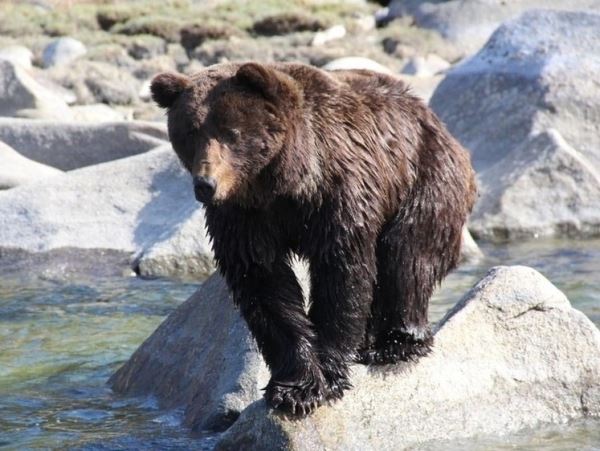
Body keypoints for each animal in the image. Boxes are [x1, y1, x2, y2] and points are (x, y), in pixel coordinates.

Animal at [151, 62, 478, 416]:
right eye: (189, 133)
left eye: (231, 133)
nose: (205, 184)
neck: (281, 183)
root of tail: (435, 120)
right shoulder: (243, 218)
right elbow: (265, 287)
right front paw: (294, 386)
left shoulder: (338, 191)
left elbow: (341, 273)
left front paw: (326, 378)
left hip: (424, 176)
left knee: (407, 254)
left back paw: (395, 342)